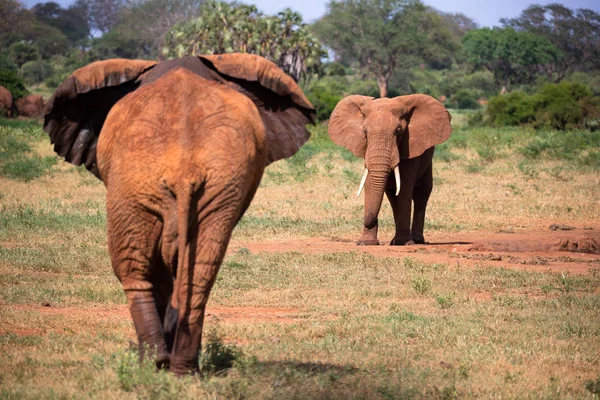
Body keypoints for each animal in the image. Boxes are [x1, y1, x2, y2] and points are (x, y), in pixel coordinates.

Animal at [44, 54, 316, 376]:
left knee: (134, 268)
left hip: (134, 185)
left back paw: (154, 362)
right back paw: (184, 369)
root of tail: (183, 168)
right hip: (211, 186)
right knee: (197, 272)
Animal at [328, 95, 450, 245]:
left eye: (398, 131)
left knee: (422, 192)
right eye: (365, 132)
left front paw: (404, 243)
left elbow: (405, 187)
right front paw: (365, 243)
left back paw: (416, 240)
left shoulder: (410, 146)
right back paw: (395, 241)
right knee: (392, 195)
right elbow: (370, 183)